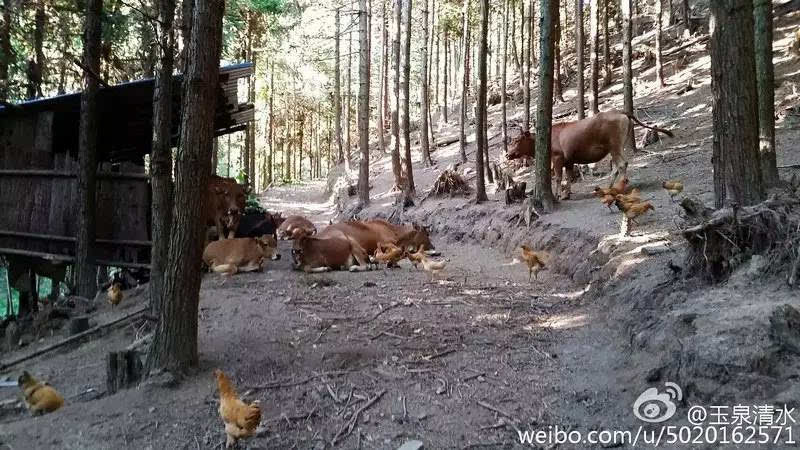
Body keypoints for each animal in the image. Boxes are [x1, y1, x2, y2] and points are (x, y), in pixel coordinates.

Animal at [506, 109, 676, 199]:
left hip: (614, 145)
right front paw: (567, 194)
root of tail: (621, 111)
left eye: (516, 140)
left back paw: (620, 187)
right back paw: (609, 187)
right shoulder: (569, 160)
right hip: (616, 146)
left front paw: (558, 195)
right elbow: (568, 177)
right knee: (617, 166)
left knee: (622, 164)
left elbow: (558, 178)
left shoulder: (557, 157)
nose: (507, 155)